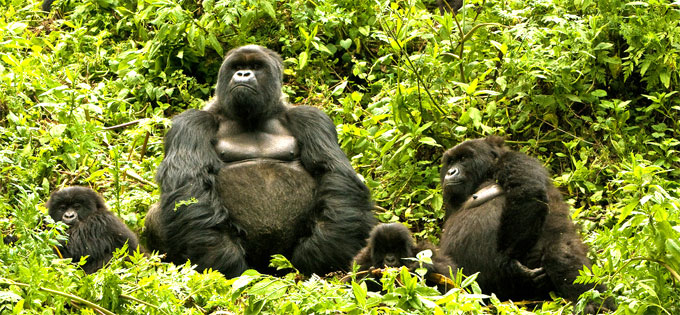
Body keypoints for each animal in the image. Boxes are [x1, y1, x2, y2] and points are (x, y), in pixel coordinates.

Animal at [145, 45, 378, 278]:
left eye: (256, 66)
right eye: (237, 67)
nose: (243, 74)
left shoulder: (311, 118)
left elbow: (333, 174)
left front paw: (322, 251)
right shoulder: (191, 122)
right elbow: (190, 183)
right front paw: (222, 260)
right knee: (156, 215)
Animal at [438, 137, 612, 314]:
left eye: (463, 159)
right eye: (450, 161)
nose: (450, 172)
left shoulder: (515, 159)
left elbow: (528, 192)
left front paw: (510, 267)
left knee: (560, 255)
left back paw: (595, 305)